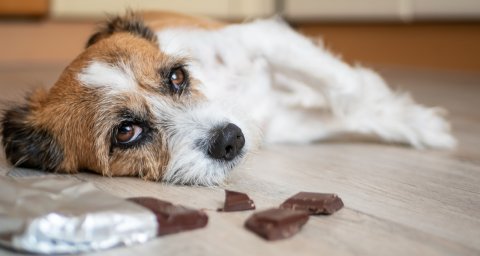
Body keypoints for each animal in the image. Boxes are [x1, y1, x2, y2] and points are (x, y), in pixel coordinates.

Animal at [1, 12, 456, 185]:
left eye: (177, 76)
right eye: (125, 132)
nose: (231, 140)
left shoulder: (264, 37)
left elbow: (347, 89)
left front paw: (421, 124)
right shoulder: (286, 125)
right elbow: (346, 110)